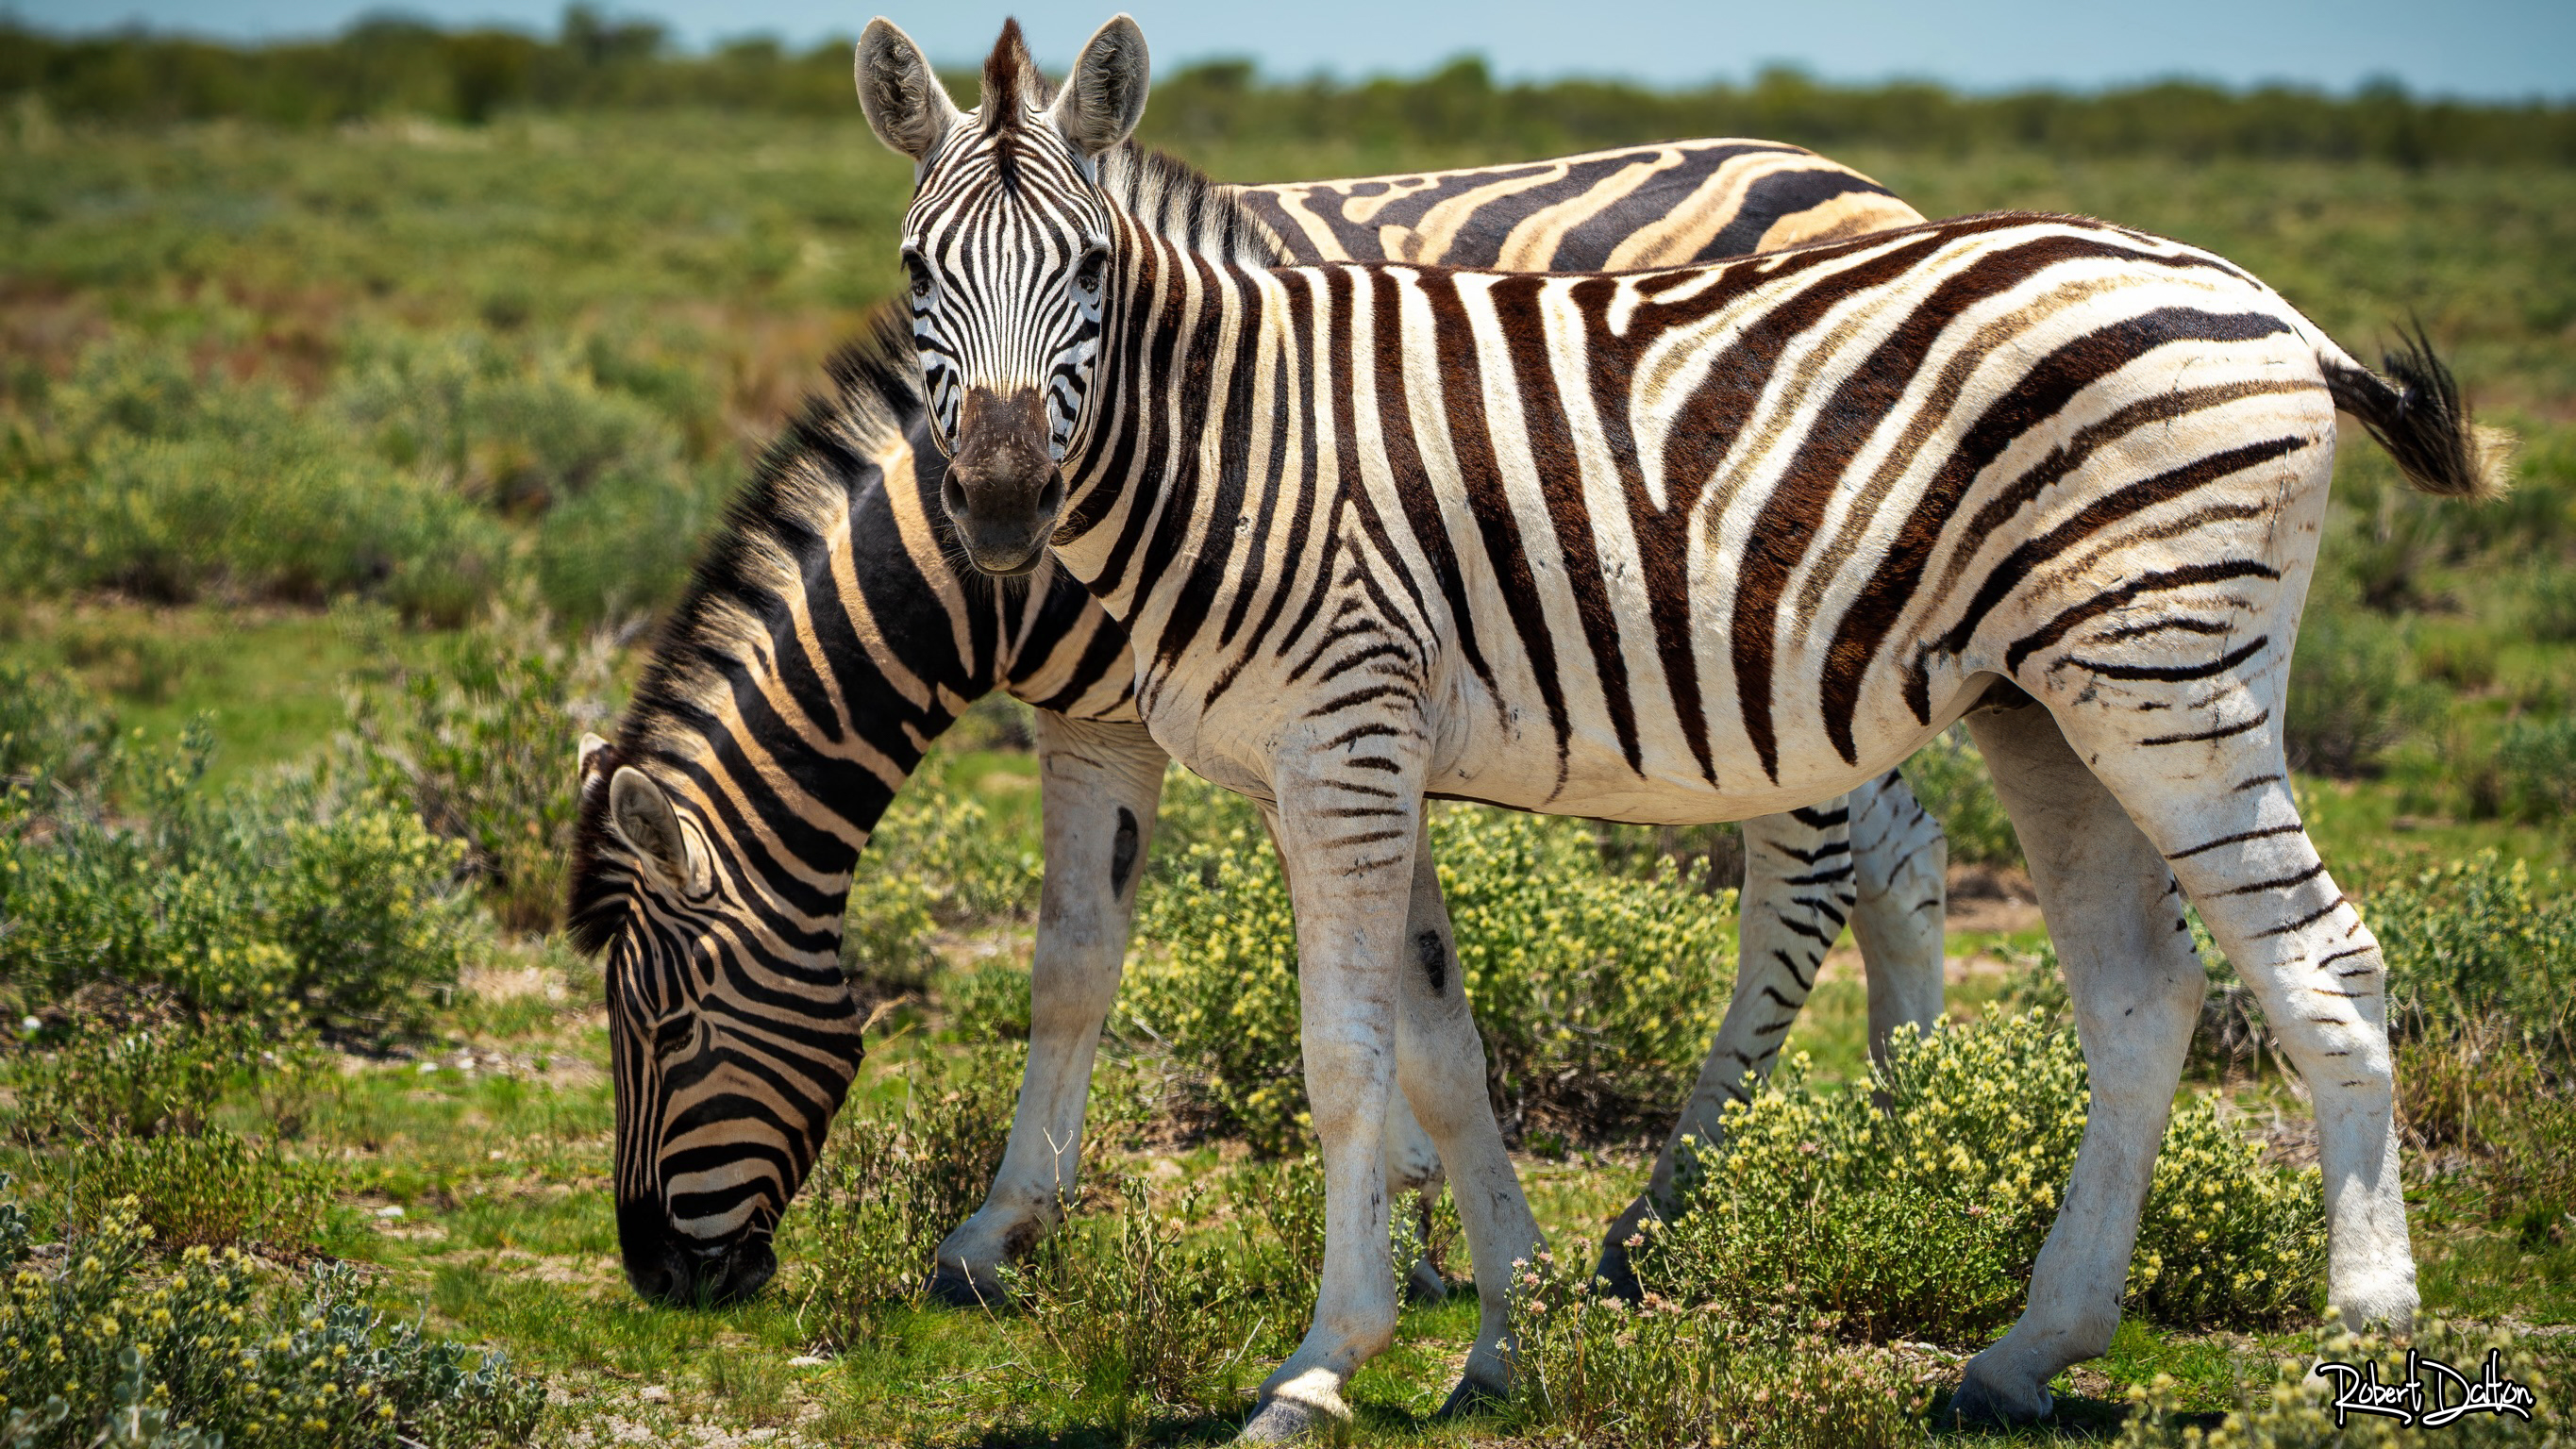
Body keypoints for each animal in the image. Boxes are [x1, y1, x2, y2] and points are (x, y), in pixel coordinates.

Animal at [564, 124, 1947, 1308]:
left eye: (665, 1025)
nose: (661, 1280)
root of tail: (1869, 187)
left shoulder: (1169, 715)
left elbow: (1099, 969)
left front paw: (996, 1230)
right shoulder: (1099, 716)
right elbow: (1077, 956)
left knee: (1808, 878)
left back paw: (1661, 1215)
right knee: (1905, 849)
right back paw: (1913, 1135)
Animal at [858, 14, 2510, 1434]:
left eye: (1087, 267)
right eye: (914, 270)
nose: (996, 506)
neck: (1244, 439)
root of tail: (2275, 310)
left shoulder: (1342, 747)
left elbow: (1344, 1059)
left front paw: (1322, 1364)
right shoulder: (1352, 760)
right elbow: (1441, 1049)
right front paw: (1493, 1343)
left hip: (2168, 674)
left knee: (2322, 962)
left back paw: (2367, 1335)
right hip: (2049, 705)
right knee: (2138, 1001)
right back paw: (2026, 1349)